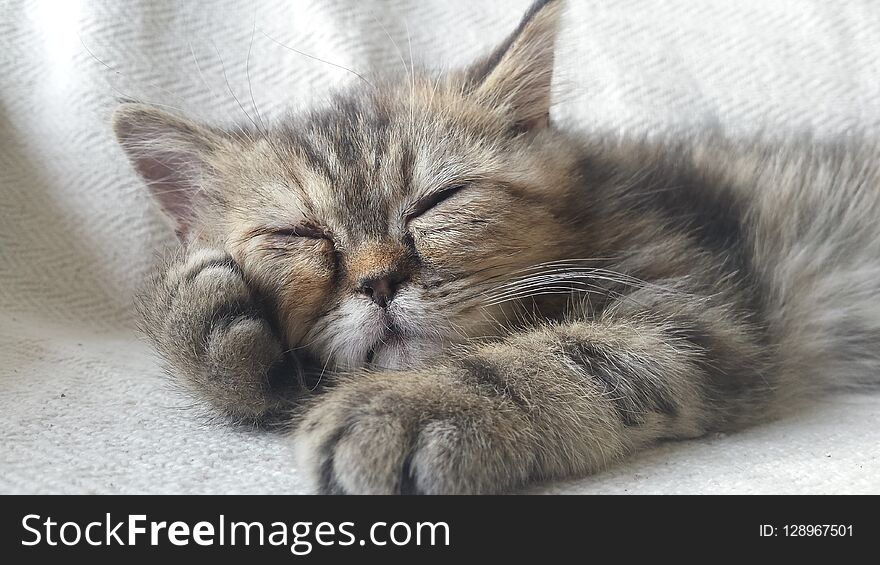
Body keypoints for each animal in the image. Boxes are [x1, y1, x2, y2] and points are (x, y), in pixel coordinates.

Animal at [113, 0, 880, 494]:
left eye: (438, 201)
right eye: (297, 235)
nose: (379, 281)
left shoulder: (700, 313)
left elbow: (564, 354)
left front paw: (417, 405)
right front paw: (200, 321)